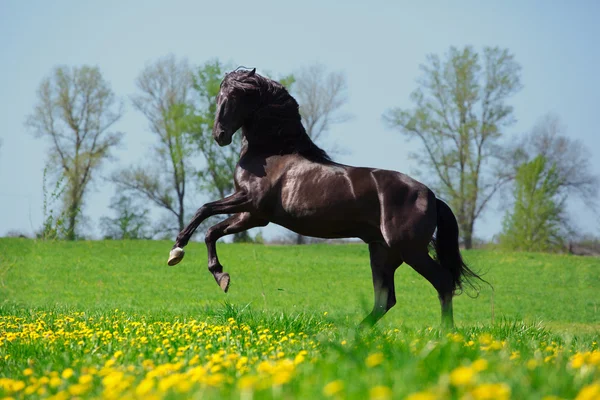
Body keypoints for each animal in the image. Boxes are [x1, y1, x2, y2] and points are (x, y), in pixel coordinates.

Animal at [165, 67, 482, 328]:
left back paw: (445, 333)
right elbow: (211, 230)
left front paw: (177, 251)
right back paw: (353, 334)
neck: (272, 152)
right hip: (382, 252)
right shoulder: (253, 216)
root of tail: (431, 195)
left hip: (409, 249)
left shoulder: (250, 203)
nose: (219, 135)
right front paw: (220, 276)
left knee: (442, 283)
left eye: (234, 95)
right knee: (385, 300)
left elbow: (204, 210)